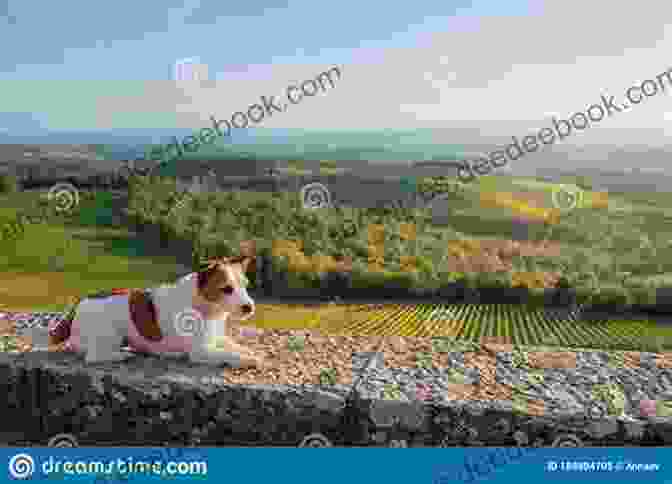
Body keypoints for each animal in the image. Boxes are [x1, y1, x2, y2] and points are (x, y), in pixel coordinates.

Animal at [46, 258, 262, 366]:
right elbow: (228, 355)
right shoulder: (201, 352)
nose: (249, 307)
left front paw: (248, 351)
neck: (206, 306)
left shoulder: (216, 338)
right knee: (93, 357)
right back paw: (123, 355)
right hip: (109, 333)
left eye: (246, 285)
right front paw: (248, 359)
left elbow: (233, 345)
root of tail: (77, 306)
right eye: (227, 288)